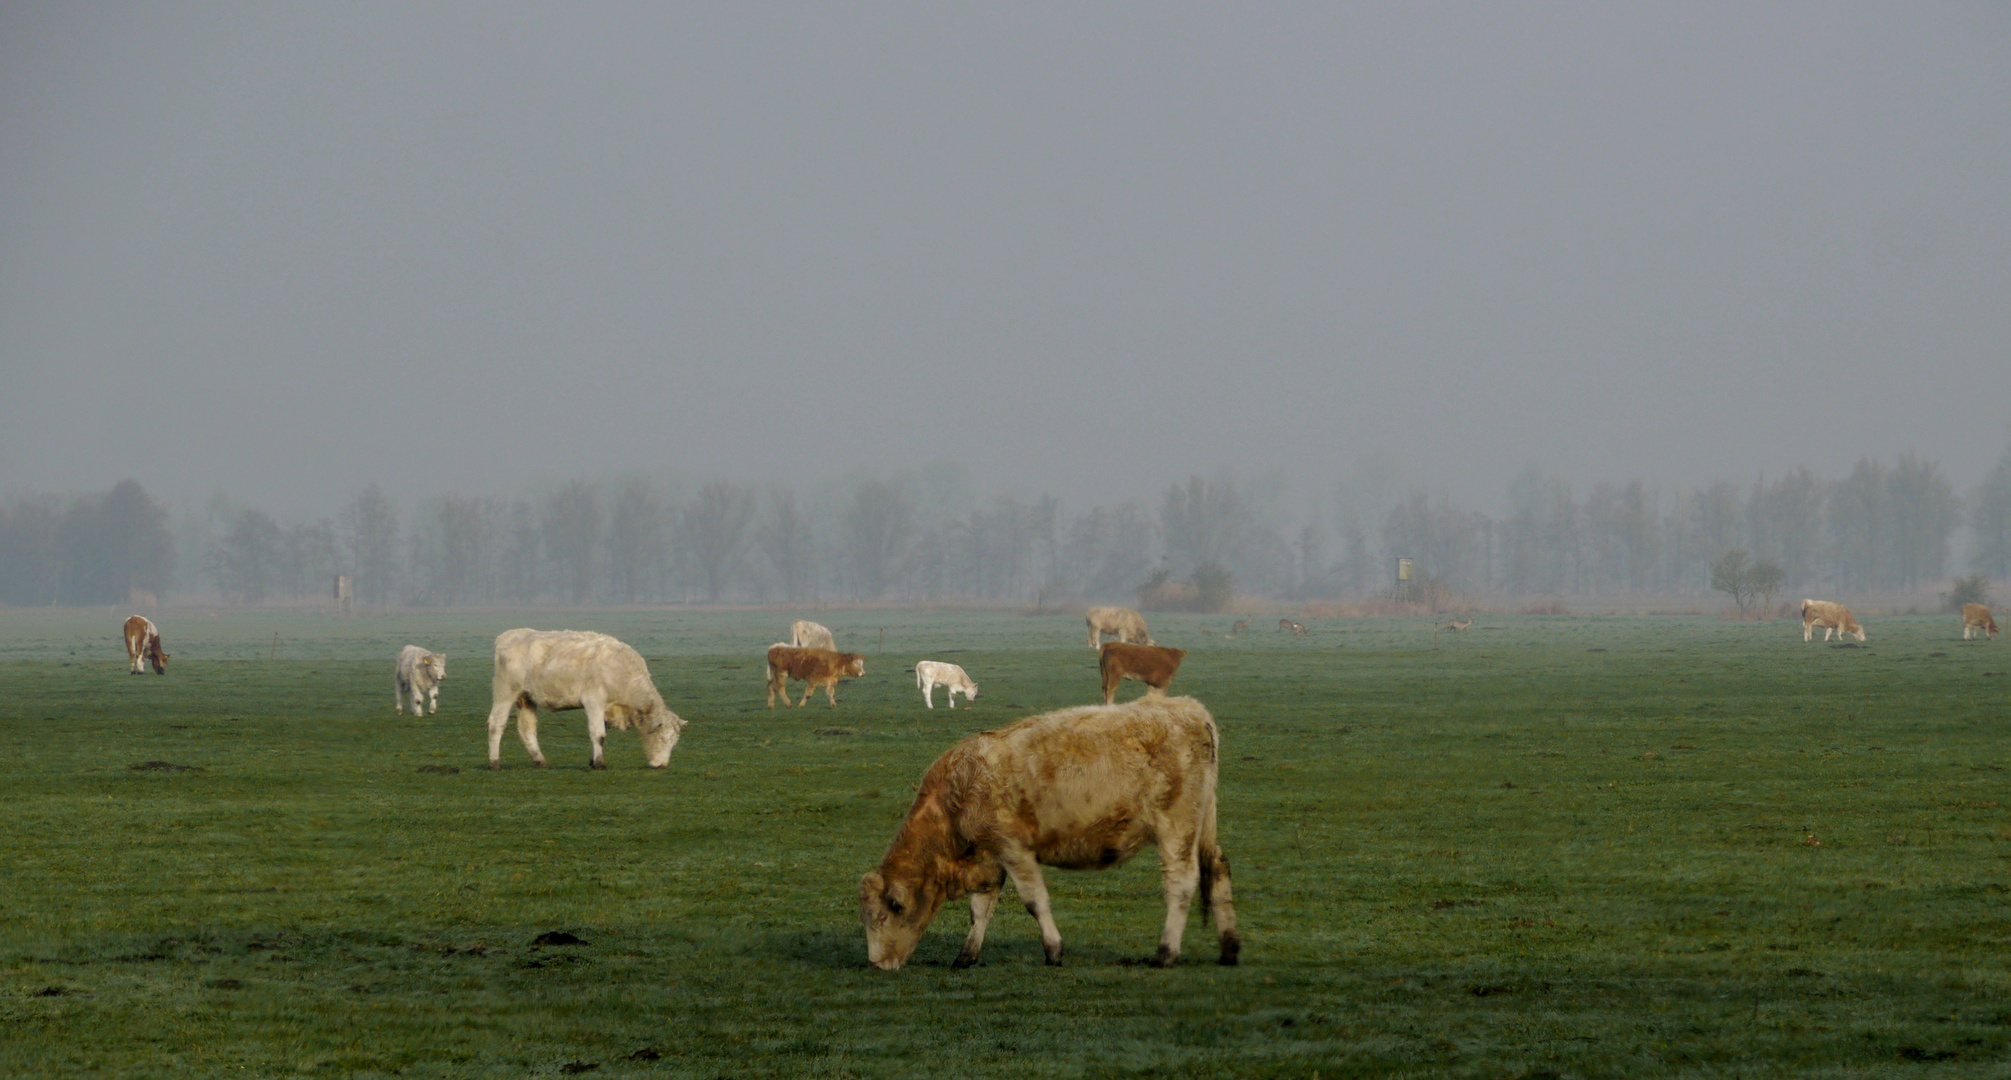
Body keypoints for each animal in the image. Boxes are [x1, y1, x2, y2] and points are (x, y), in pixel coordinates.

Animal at [484, 627, 683, 772]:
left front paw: (592, 760)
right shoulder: (593, 701)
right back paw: (494, 762)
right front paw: (600, 763)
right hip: (505, 692)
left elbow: (600, 733)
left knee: (527, 729)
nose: (662, 765)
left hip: (527, 698)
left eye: (674, 743)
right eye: (661, 738)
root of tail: (509, 636)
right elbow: (599, 734)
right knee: (496, 724)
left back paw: (540, 760)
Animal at [860, 695, 1238, 973]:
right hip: (1202, 825)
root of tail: (1188, 707)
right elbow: (981, 908)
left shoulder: (1014, 849)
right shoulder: (988, 857)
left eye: (886, 913)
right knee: (1218, 868)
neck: (957, 793)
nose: (878, 964)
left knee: (1181, 883)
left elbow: (1034, 901)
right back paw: (1229, 948)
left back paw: (1165, 953)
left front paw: (1054, 951)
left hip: (1177, 829)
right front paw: (966, 956)